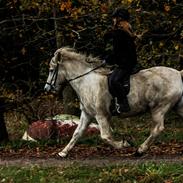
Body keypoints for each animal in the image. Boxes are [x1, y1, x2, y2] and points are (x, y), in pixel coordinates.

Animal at [44, 47, 183, 157]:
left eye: (51, 70)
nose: (46, 89)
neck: (87, 81)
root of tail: (178, 73)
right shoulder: (87, 114)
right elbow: (77, 133)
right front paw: (63, 152)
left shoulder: (101, 115)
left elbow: (105, 136)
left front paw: (124, 144)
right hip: (177, 106)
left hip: (159, 108)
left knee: (157, 129)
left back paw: (140, 150)